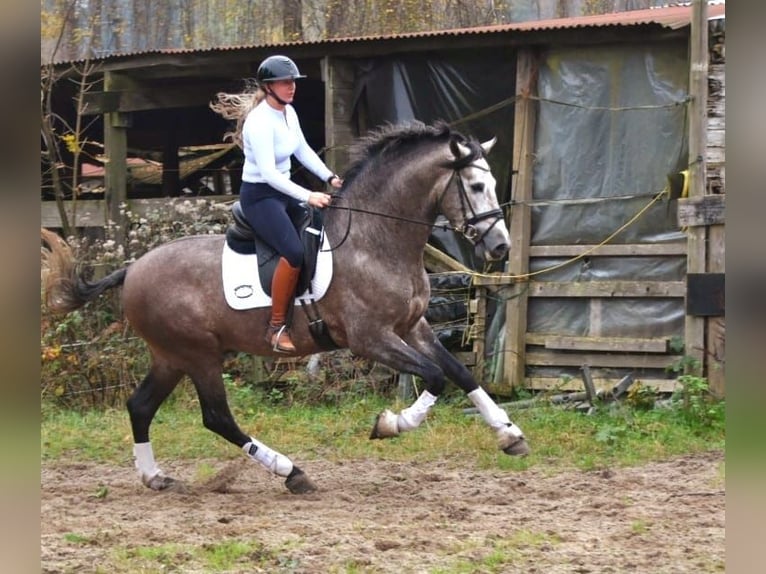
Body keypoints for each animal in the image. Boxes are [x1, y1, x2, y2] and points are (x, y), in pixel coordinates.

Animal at [40, 121, 528, 496]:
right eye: (477, 186)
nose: (500, 247)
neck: (376, 240)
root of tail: (132, 268)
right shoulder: (371, 338)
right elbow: (433, 377)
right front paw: (390, 424)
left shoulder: (414, 327)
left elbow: (460, 372)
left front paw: (510, 435)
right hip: (197, 355)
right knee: (217, 417)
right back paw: (291, 472)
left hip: (170, 357)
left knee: (141, 407)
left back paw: (155, 477)